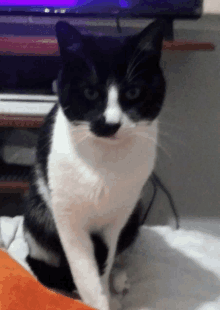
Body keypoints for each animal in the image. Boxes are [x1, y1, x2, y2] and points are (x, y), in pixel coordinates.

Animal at [23, 20, 166, 310]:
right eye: (90, 92)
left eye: (133, 92)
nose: (110, 124)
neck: (104, 162)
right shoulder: (68, 217)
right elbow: (84, 271)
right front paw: (95, 300)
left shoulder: (117, 217)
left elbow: (106, 261)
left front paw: (109, 294)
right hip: (37, 213)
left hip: (135, 214)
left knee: (120, 254)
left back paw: (119, 280)